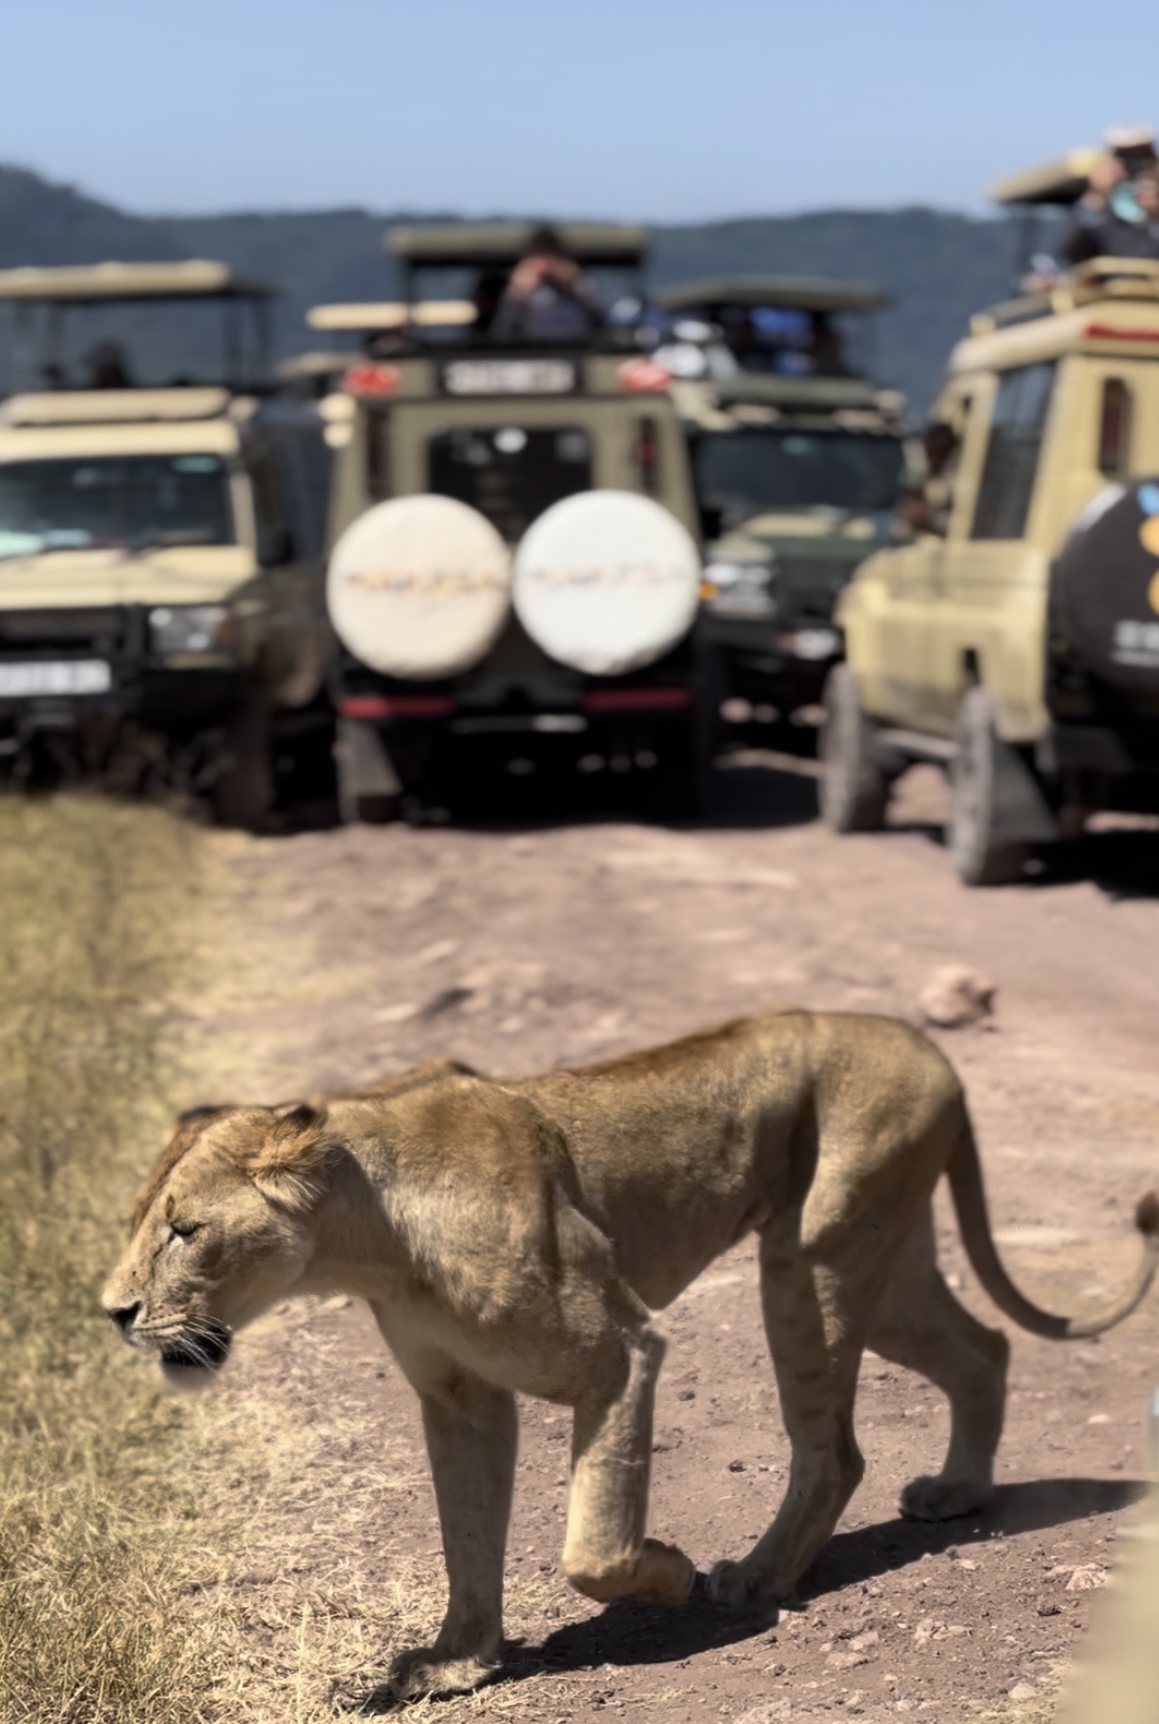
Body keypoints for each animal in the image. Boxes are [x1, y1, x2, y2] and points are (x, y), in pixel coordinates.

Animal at [103, 1013, 1158, 1702]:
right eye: (139, 1222)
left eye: (186, 1231)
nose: (114, 1313)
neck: (366, 1240)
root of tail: (924, 1042)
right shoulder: (458, 1395)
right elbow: (467, 1534)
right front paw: (458, 1662)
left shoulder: (621, 1348)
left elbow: (592, 1543)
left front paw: (666, 1570)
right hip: (879, 1262)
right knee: (982, 1347)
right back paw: (958, 1491)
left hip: (812, 1256)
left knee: (837, 1446)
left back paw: (757, 1576)